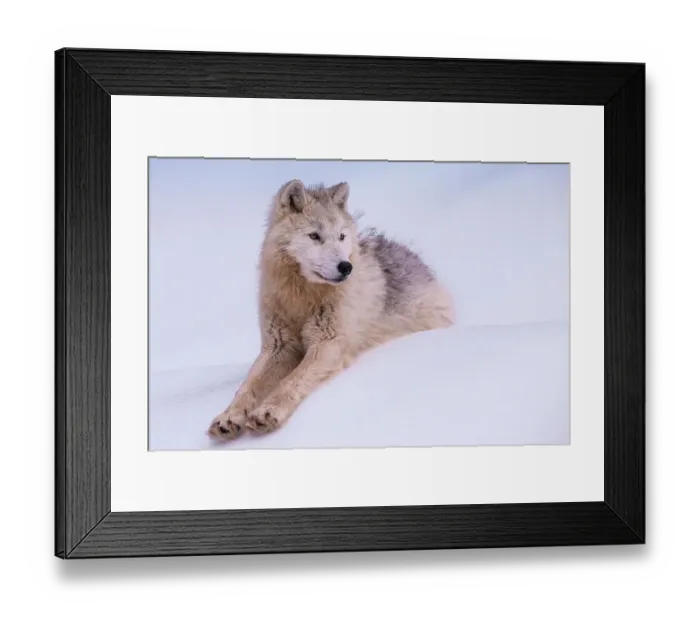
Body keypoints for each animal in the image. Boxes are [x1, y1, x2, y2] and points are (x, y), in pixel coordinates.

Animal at [208, 179, 455, 439]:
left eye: (341, 236)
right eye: (314, 236)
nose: (346, 267)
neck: (302, 298)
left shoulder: (328, 344)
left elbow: (292, 380)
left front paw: (269, 412)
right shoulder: (277, 347)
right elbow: (247, 386)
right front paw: (228, 417)